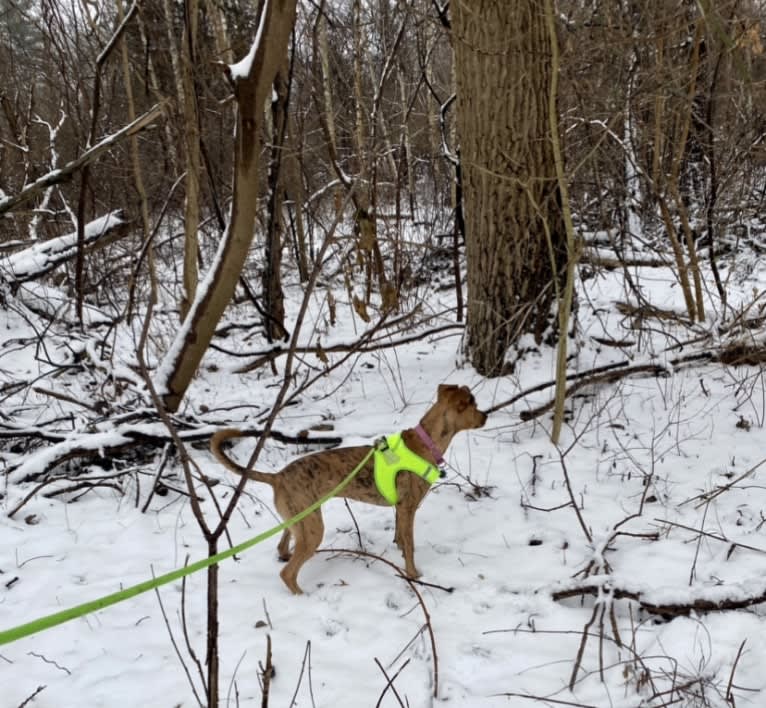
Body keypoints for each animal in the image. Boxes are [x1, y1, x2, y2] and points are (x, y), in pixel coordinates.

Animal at [210, 384, 486, 596]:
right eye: (473, 404)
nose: (486, 416)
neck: (426, 441)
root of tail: (277, 477)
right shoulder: (408, 508)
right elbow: (410, 546)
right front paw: (413, 574)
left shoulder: (400, 509)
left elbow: (400, 537)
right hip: (312, 529)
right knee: (287, 574)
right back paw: (302, 596)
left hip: (298, 519)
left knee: (283, 546)